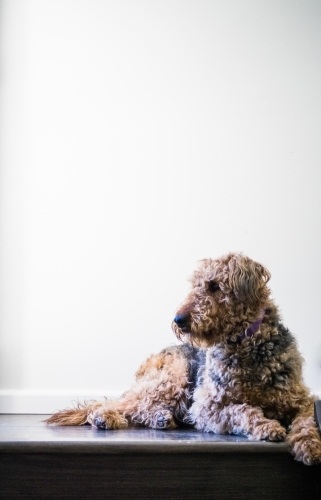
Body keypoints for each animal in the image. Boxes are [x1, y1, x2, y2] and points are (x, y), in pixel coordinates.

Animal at [45, 254, 320, 464]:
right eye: (196, 285)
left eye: (214, 285)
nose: (178, 320)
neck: (248, 347)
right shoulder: (207, 407)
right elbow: (243, 410)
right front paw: (268, 426)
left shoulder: (302, 400)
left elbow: (307, 422)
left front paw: (309, 445)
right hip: (172, 379)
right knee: (113, 405)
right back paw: (106, 418)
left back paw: (161, 419)